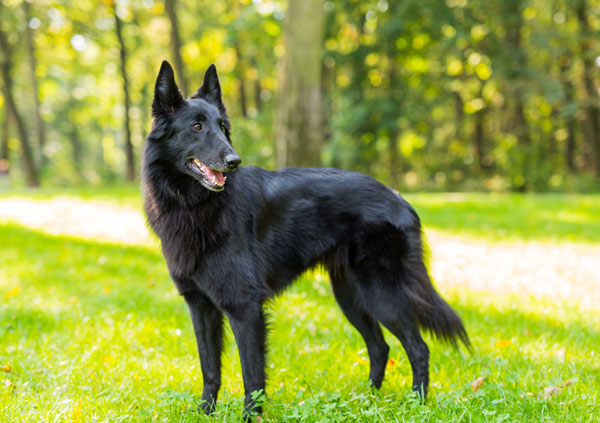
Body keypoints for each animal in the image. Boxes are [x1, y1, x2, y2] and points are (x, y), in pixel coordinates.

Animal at [142, 61, 468, 420]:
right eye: (197, 127)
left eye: (223, 127)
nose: (234, 161)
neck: (194, 205)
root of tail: (399, 198)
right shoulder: (201, 307)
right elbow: (210, 368)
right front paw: (205, 413)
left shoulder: (245, 308)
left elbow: (251, 375)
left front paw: (250, 417)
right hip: (351, 297)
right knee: (381, 346)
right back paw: (368, 400)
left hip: (381, 294)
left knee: (418, 347)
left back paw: (417, 403)